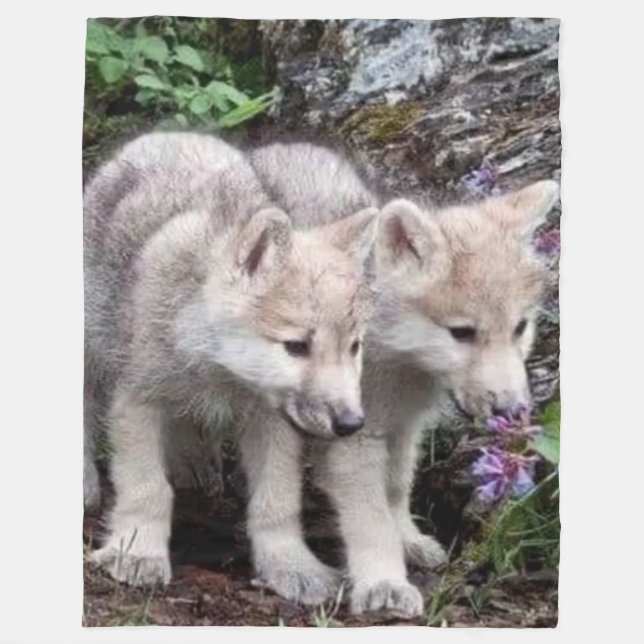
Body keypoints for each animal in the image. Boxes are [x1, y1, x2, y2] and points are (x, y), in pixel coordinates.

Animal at [83, 132, 378, 601]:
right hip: (92, 348)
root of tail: (165, 135)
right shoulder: (139, 400)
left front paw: (291, 567)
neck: (221, 372)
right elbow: (147, 488)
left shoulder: (272, 423)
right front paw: (137, 553)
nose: (351, 424)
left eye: (354, 347)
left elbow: (277, 501)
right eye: (296, 347)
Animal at [249, 142, 559, 616]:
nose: (513, 411)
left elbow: (395, 488)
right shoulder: (355, 437)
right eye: (462, 333)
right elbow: (370, 517)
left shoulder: (403, 426)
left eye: (520, 328)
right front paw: (384, 583)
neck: (399, 361)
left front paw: (408, 540)